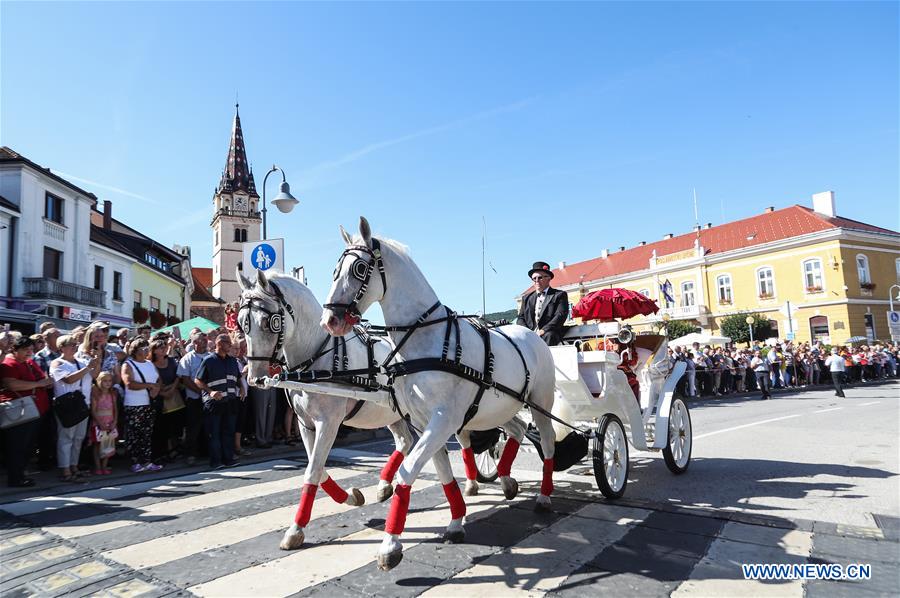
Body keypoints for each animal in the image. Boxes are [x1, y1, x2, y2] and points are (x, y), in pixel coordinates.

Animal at [316, 218, 556, 576]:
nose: (329, 321)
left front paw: (390, 545)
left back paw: (543, 495)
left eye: (359, 268)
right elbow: (442, 473)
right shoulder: (426, 422)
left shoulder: (442, 420)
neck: (426, 339)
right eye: (334, 269)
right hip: (500, 407)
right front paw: (456, 520)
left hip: (540, 405)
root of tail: (529, 332)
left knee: (549, 442)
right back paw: (507, 480)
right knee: (515, 430)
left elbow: (408, 471)